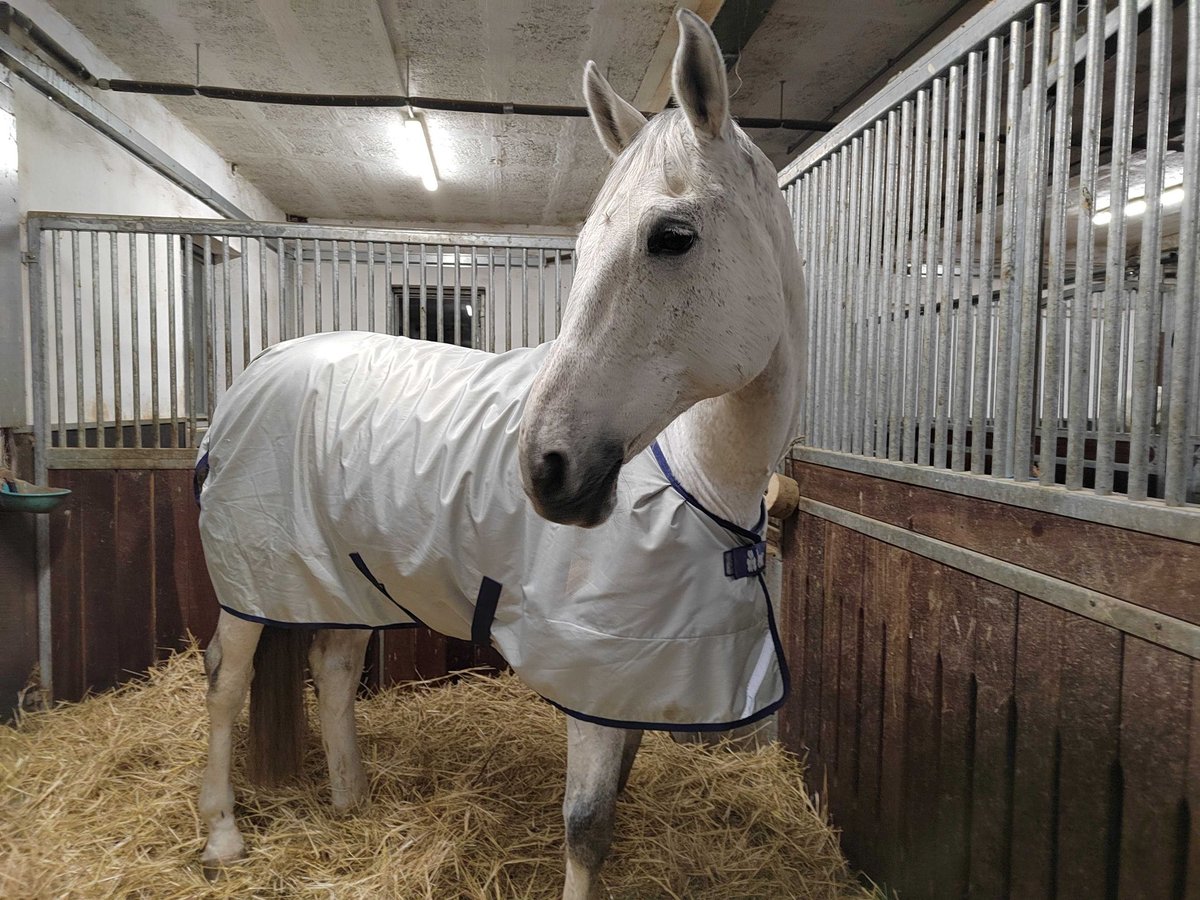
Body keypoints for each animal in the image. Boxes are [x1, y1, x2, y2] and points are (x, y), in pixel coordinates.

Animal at [196, 10, 806, 897]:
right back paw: (221, 833)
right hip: (255, 579)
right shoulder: (595, 666)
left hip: (340, 576)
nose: (545, 469)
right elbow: (585, 825)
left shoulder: (639, 674)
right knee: (226, 677)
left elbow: (613, 801)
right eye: (580, 248)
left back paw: (352, 804)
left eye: (673, 236)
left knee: (333, 667)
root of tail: (263, 363)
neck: (696, 478)